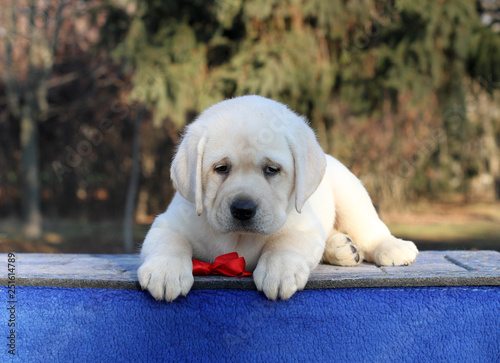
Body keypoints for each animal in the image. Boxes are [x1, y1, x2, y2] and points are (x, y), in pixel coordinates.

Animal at [138, 94, 418, 302]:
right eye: (221, 168)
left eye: (272, 169)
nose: (243, 209)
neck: (239, 238)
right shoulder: (169, 221)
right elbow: (171, 242)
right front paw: (165, 271)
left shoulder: (304, 227)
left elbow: (284, 242)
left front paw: (279, 270)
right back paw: (342, 247)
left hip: (350, 192)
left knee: (369, 228)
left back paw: (390, 246)